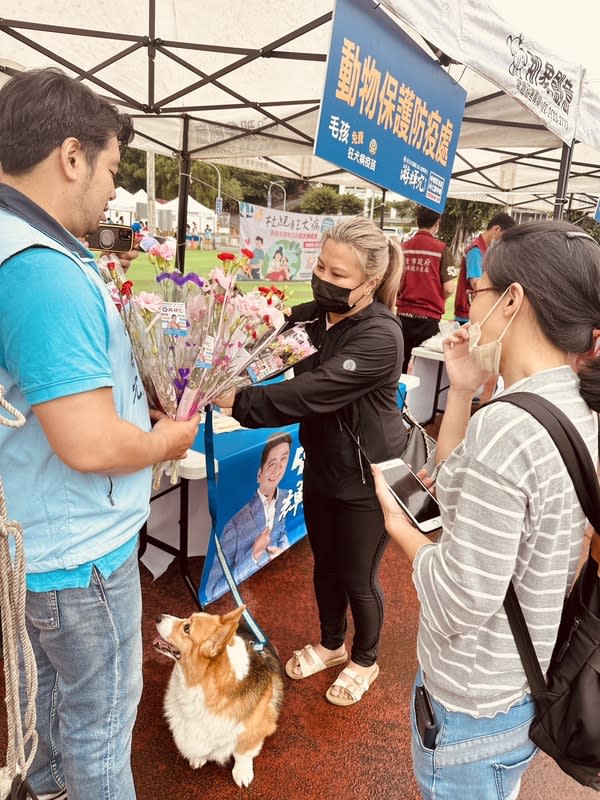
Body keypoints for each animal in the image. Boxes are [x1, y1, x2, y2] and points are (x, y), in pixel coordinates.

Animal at [155, 608, 286, 788]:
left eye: (187, 628)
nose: (158, 617)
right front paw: (198, 758)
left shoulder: (258, 727)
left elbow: (243, 752)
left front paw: (242, 772)